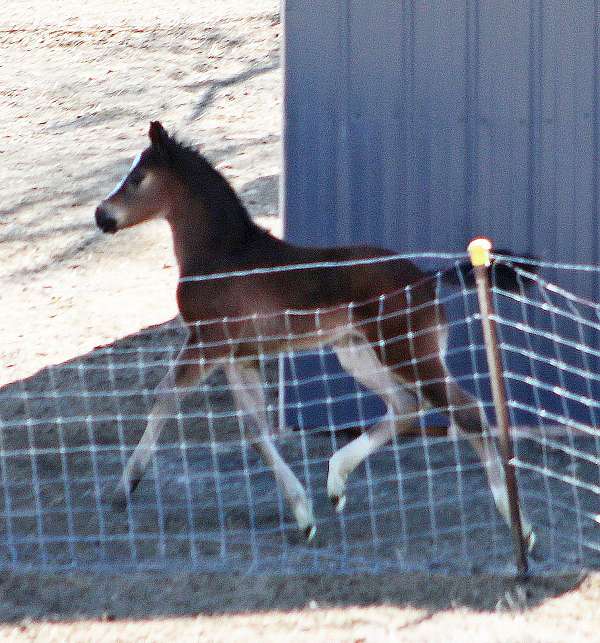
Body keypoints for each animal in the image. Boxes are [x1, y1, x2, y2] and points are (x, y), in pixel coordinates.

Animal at [96, 122, 536, 548]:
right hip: (357, 354)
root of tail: (427, 280)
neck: (222, 256)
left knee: (467, 412)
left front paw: (124, 488)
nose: (101, 217)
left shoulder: (208, 342)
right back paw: (336, 482)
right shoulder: (240, 355)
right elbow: (255, 432)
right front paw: (303, 515)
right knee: (405, 406)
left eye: (137, 178)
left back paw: (522, 530)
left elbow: (165, 397)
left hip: (407, 354)